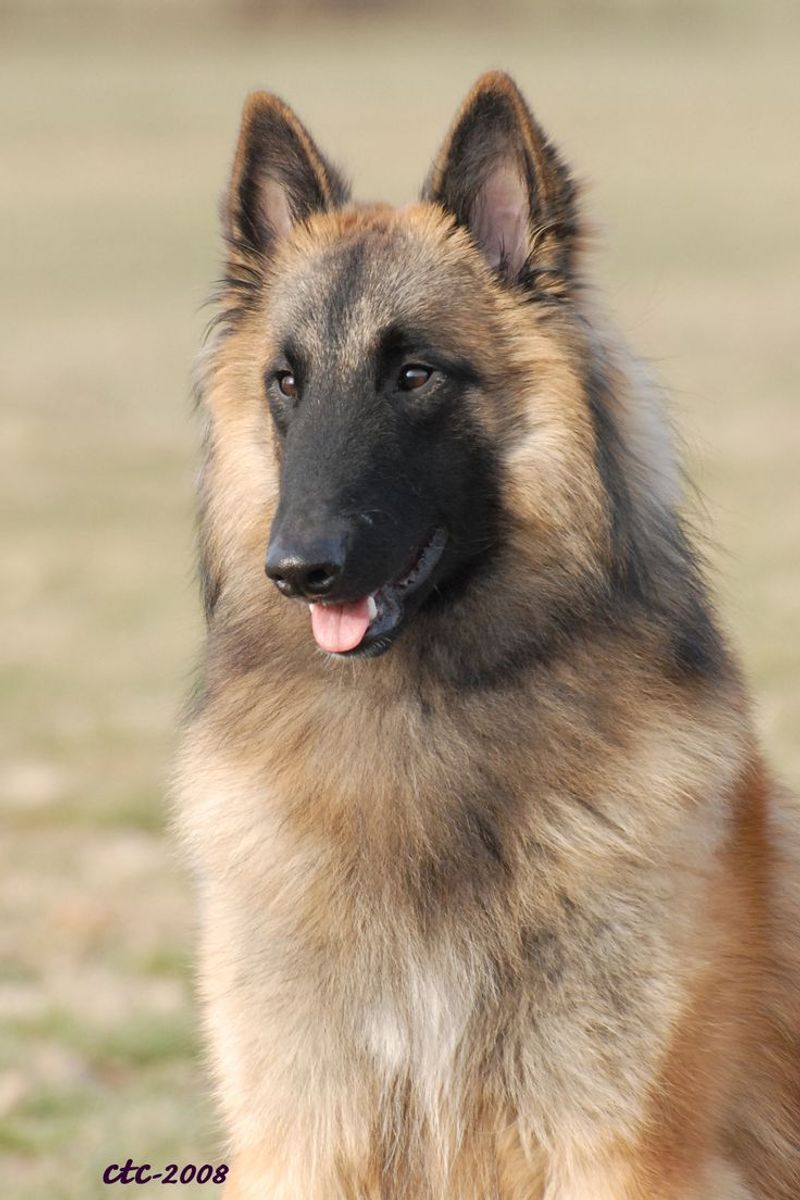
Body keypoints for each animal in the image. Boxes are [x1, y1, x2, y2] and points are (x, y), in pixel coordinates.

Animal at [176, 70, 800, 1195]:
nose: (296, 568)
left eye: (415, 375)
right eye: (286, 382)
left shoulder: (616, 1147)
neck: (419, 724)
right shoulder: (304, 1135)